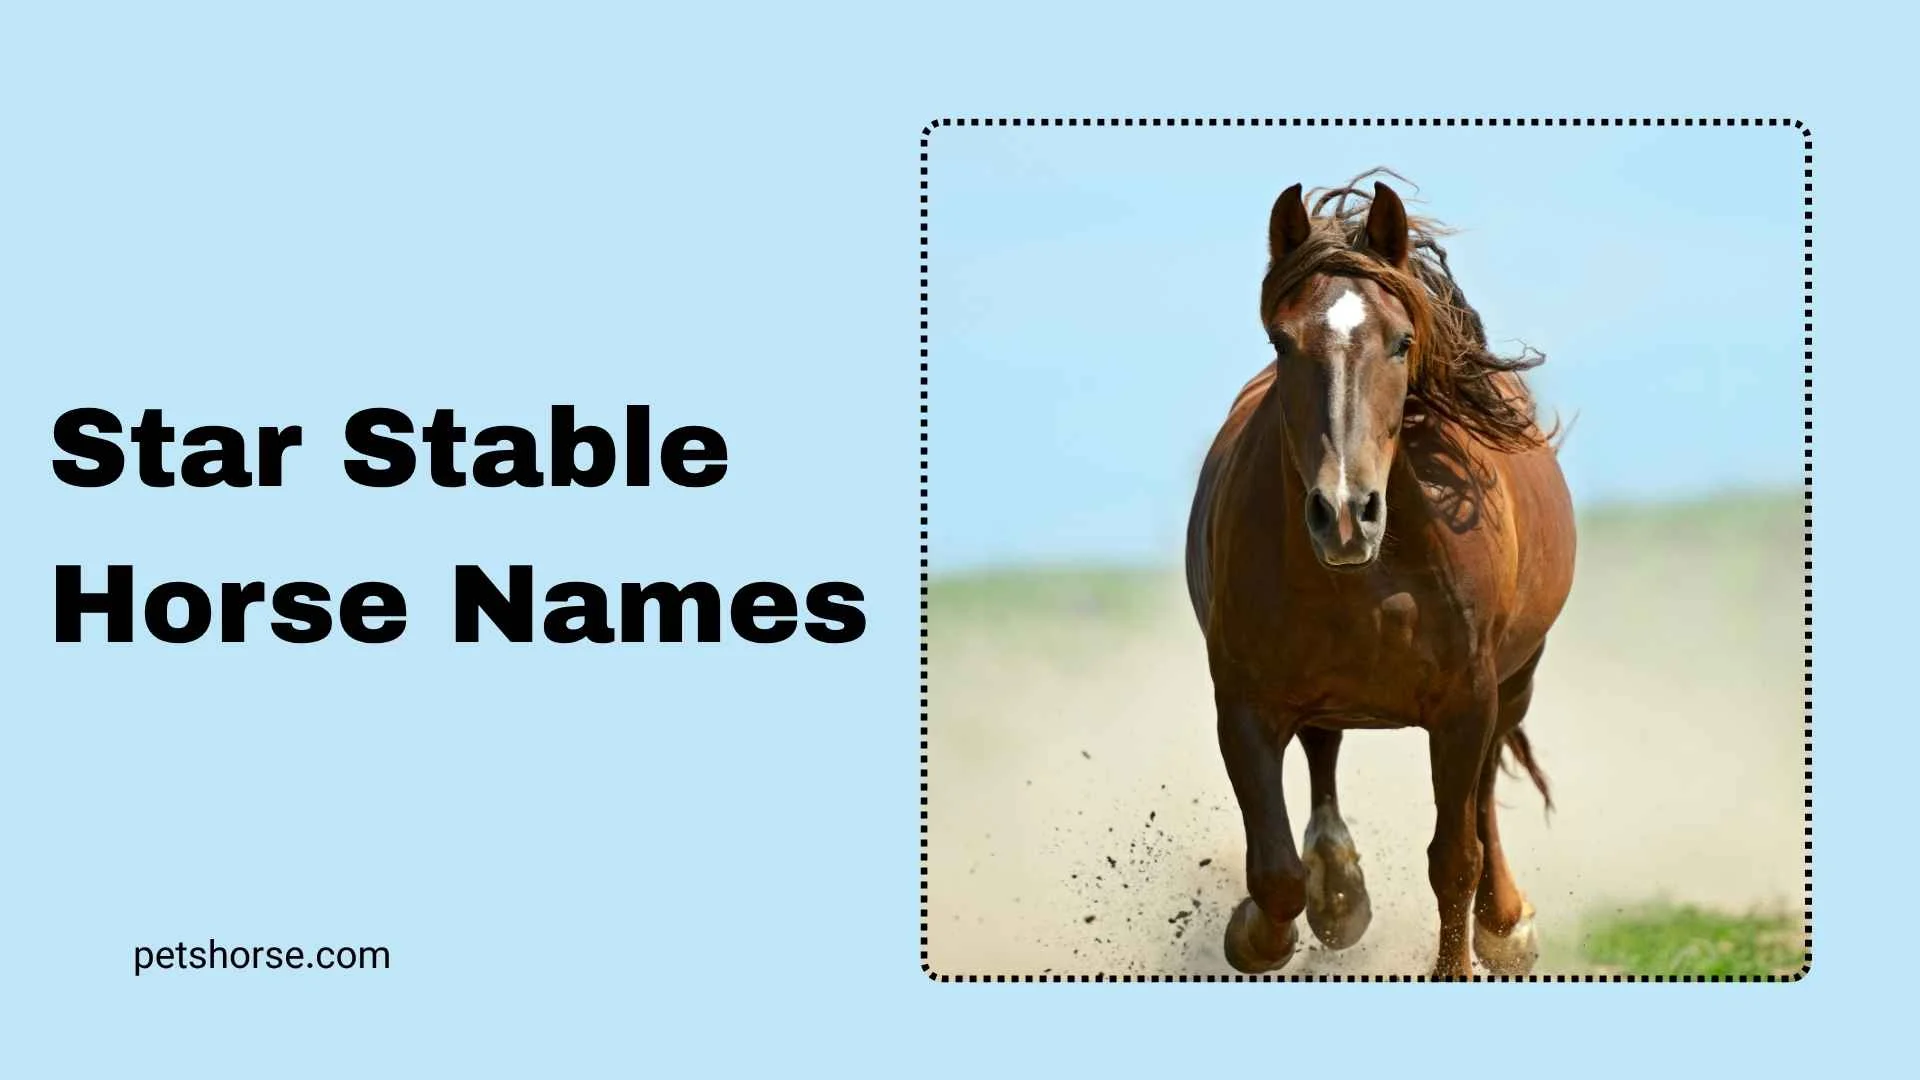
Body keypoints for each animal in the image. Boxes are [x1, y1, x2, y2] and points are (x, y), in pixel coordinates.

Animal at [1184, 173, 1575, 978]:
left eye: (1400, 342)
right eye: (1281, 341)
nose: (1343, 512)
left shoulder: (1466, 703)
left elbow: (1455, 858)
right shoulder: (1243, 702)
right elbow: (1275, 873)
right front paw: (1261, 931)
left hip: (1512, 682)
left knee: (1484, 797)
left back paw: (1506, 923)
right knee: (1323, 755)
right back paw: (1340, 893)